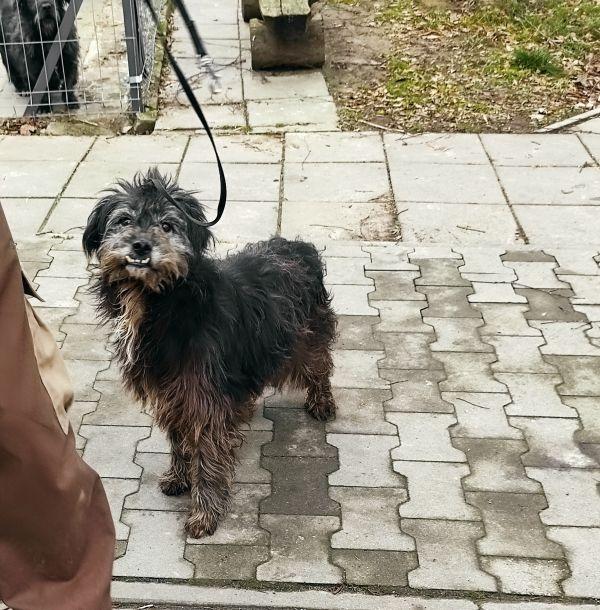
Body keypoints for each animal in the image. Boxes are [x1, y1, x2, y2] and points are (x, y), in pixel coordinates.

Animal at [82, 169, 337, 538]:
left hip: (307, 335)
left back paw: (321, 402)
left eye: (167, 225)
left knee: (320, 364)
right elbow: (179, 439)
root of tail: (299, 246)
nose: (141, 246)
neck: (163, 301)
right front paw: (179, 477)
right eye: (124, 220)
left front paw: (204, 513)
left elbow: (206, 454)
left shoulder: (203, 395)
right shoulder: (172, 391)